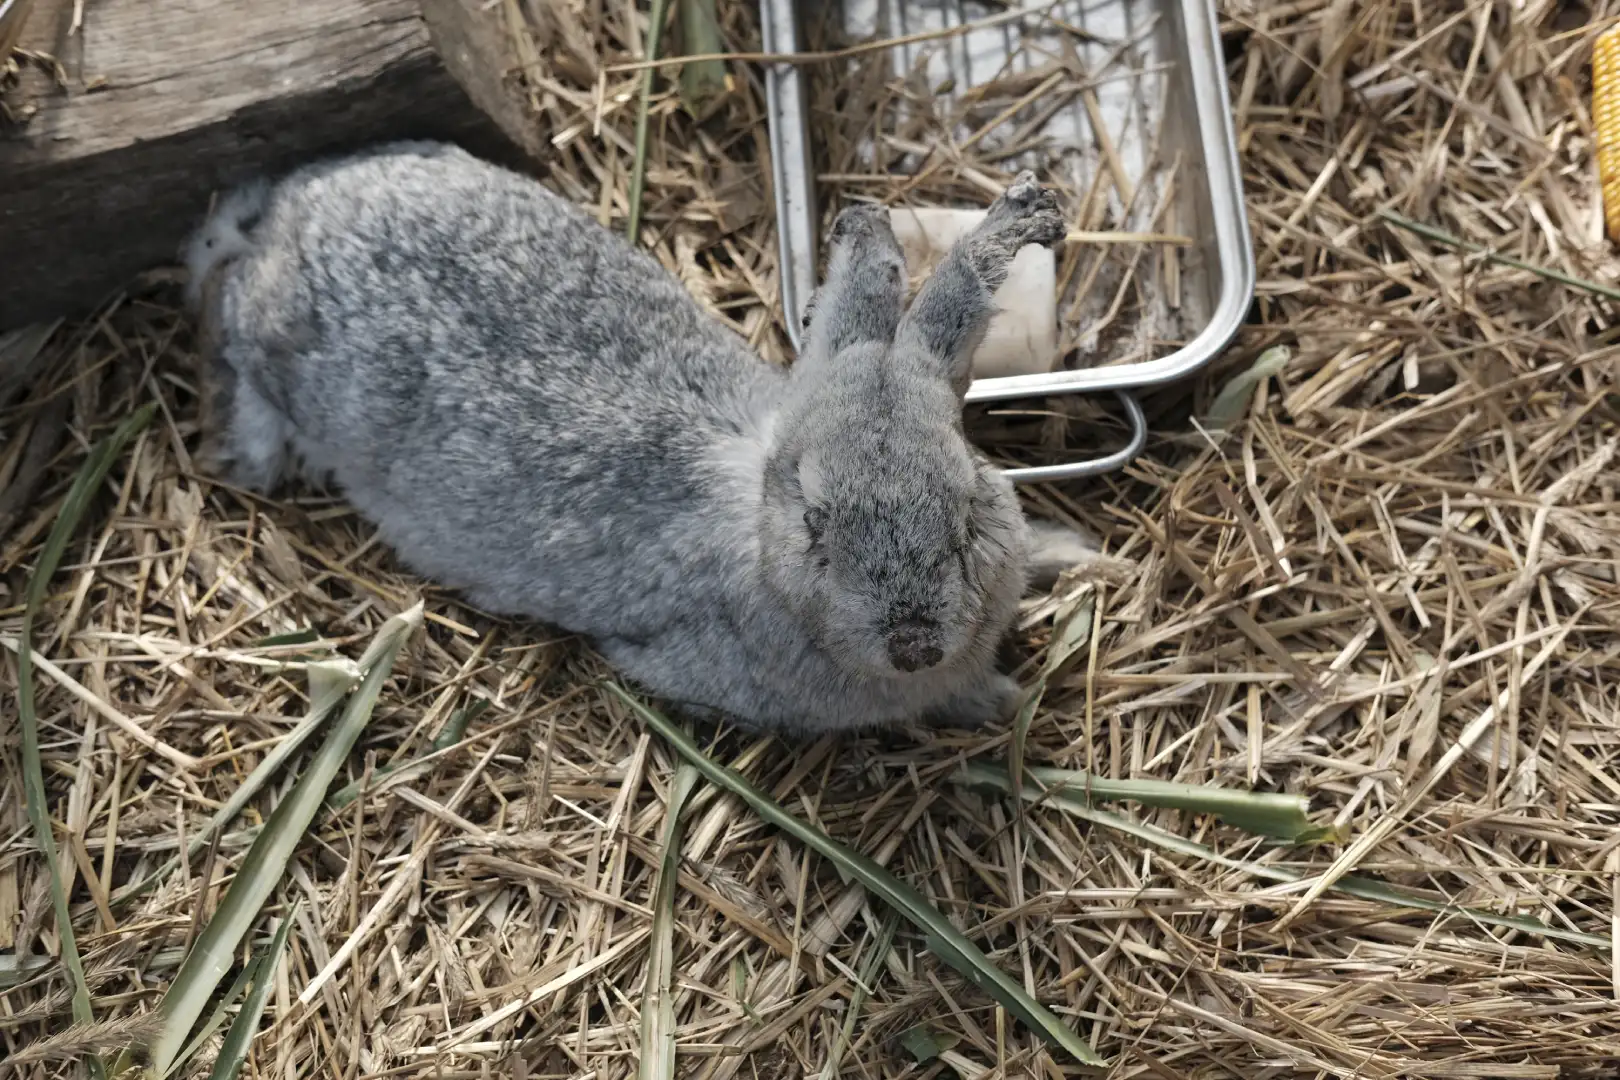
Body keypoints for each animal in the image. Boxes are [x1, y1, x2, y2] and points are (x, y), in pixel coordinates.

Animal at [183, 140, 1100, 736]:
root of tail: (285, 216)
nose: (914, 644)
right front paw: (997, 702)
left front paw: (1077, 555)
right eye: (813, 522)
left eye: (966, 507)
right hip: (275, 350)